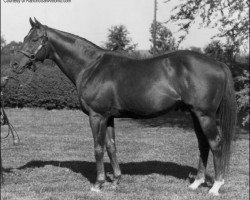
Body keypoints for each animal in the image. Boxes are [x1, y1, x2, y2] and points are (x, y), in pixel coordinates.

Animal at [11, 18, 236, 195]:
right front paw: (116, 180)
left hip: (205, 115)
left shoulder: (96, 116)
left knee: (215, 143)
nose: (14, 65)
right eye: (25, 37)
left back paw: (216, 186)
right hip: (195, 114)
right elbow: (112, 147)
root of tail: (219, 64)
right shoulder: (109, 117)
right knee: (203, 144)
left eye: (34, 39)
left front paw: (98, 184)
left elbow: (98, 148)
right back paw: (196, 183)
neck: (91, 66)